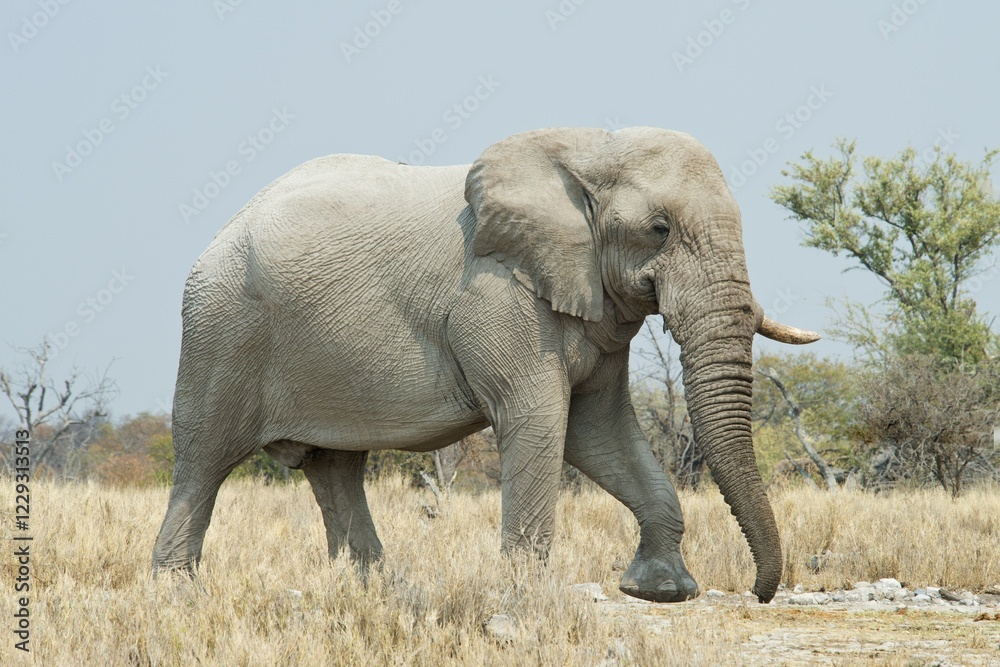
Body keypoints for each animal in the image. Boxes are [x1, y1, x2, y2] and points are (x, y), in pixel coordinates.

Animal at [152, 127, 818, 603]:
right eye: (659, 229)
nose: (760, 594)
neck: (588, 148)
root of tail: (220, 235)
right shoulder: (499, 295)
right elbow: (542, 422)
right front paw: (527, 600)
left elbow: (598, 431)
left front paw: (661, 592)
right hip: (221, 331)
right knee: (203, 463)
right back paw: (176, 599)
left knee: (336, 469)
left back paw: (377, 593)